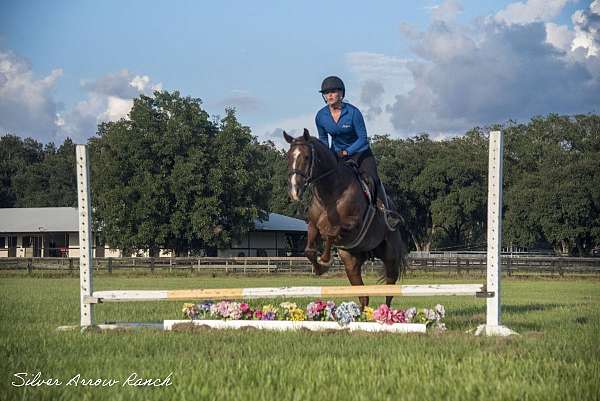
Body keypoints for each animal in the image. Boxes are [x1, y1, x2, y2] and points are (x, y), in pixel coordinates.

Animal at [284, 128, 408, 306]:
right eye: (288, 157)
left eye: (306, 157)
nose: (295, 191)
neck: (330, 192)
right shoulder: (312, 225)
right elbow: (309, 250)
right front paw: (321, 268)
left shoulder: (354, 224)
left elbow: (330, 232)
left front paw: (325, 259)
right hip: (352, 262)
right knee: (364, 296)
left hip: (390, 257)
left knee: (389, 291)